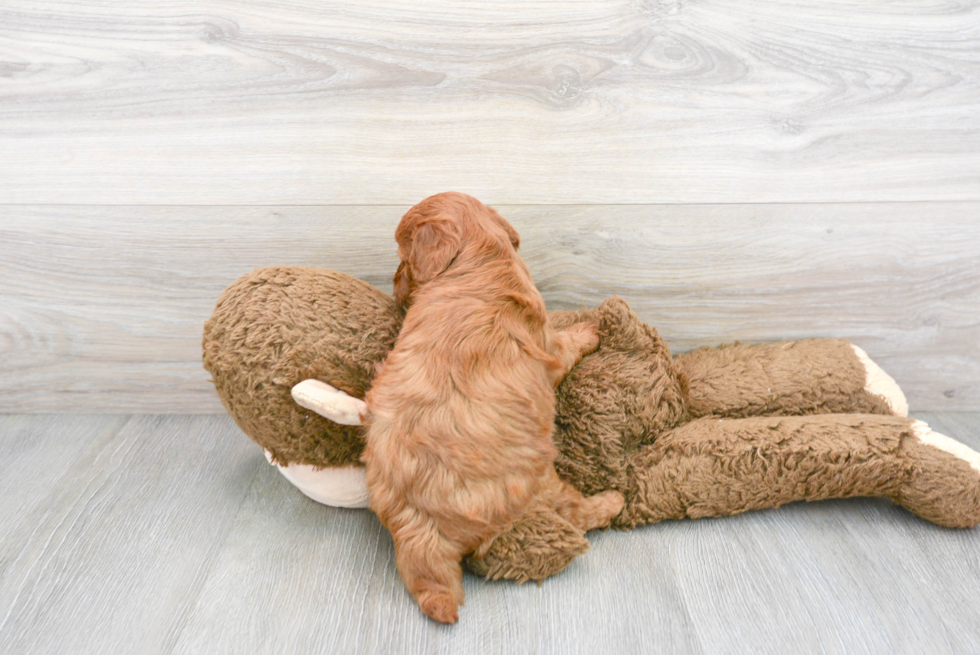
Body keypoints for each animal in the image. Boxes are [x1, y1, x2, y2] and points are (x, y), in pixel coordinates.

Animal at [364, 191, 624, 624]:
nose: (395, 286)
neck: (478, 260)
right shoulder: (549, 347)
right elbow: (568, 344)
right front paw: (589, 330)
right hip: (539, 480)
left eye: (404, 259)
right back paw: (611, 502)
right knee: (573, 512)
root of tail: (421, 524)